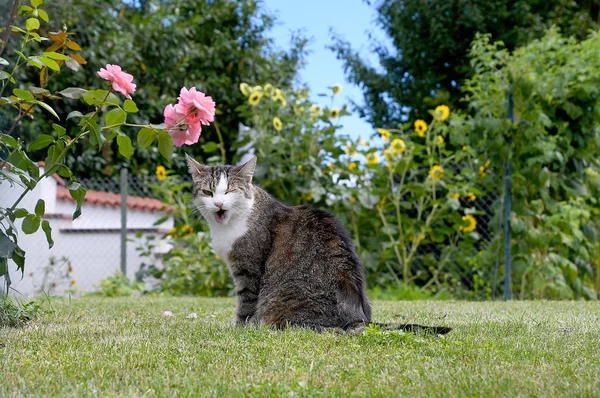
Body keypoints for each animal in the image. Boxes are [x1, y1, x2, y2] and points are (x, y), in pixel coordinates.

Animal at [186, 156, 450, 336]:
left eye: (230, 191)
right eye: (208, 192)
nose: (219, 203)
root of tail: (359, 318)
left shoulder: (249, 270)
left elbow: (245, 305)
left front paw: (239, 331)